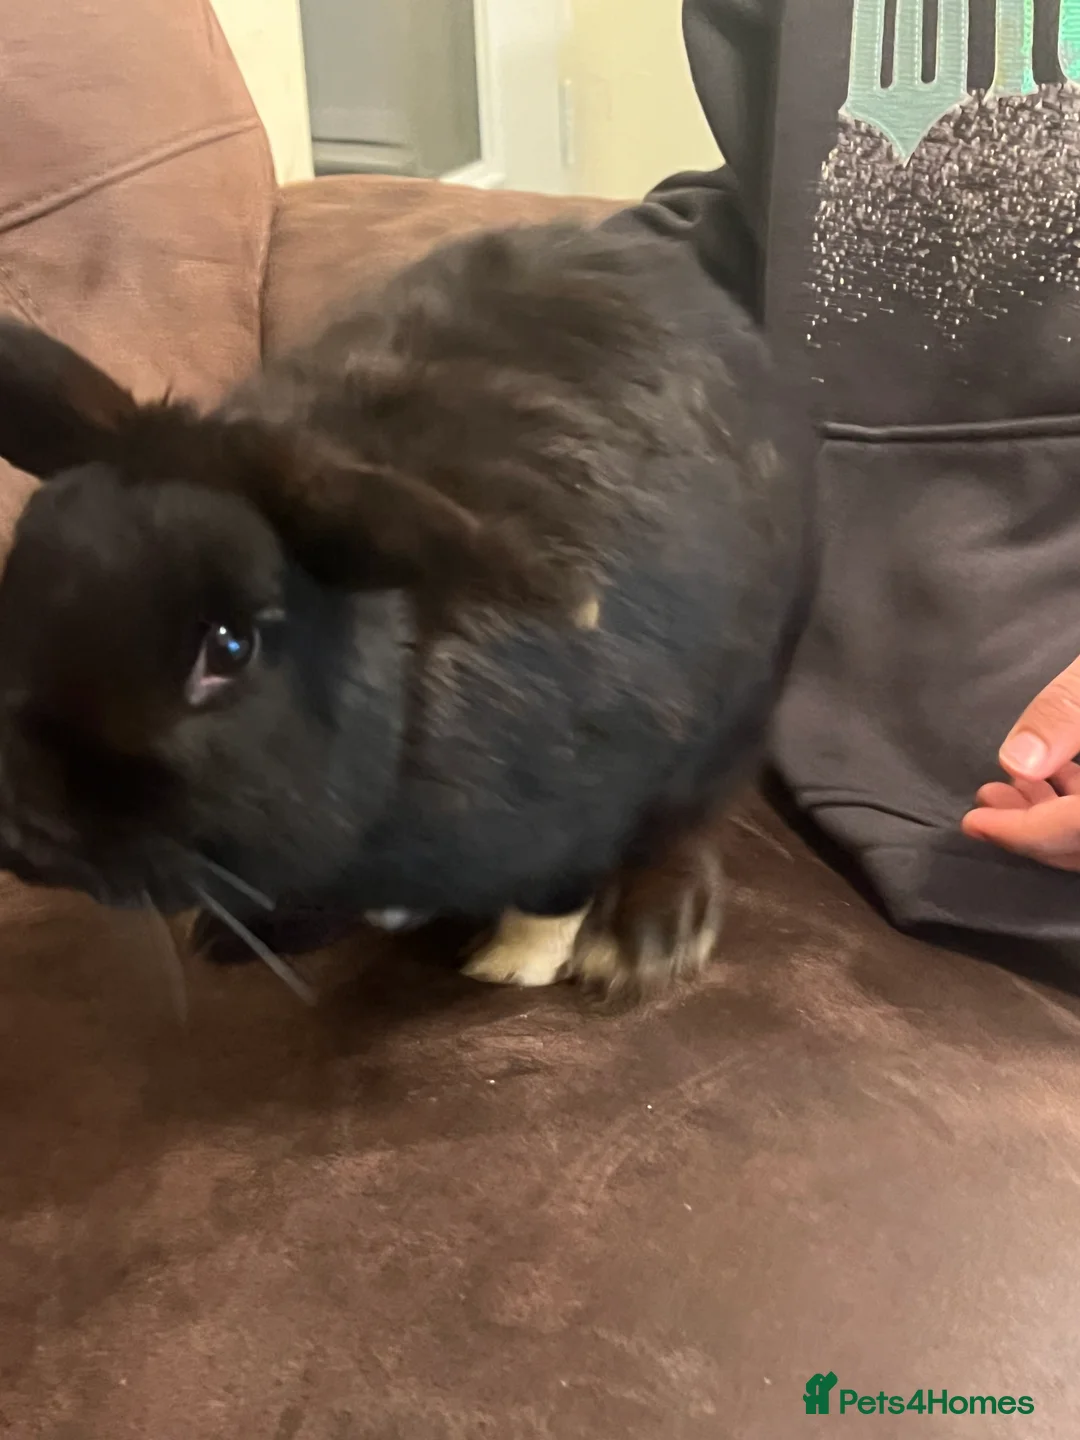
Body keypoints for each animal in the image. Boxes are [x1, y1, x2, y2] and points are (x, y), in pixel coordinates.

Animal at [0, 221, 813, 999]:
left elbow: (554, 894)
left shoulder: (589, 799)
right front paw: (241, 933)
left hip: (737, 713)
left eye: (229, 648)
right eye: (22, 565)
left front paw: (510, 966)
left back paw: (644, 941)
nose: (27, 831)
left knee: (691, 819)